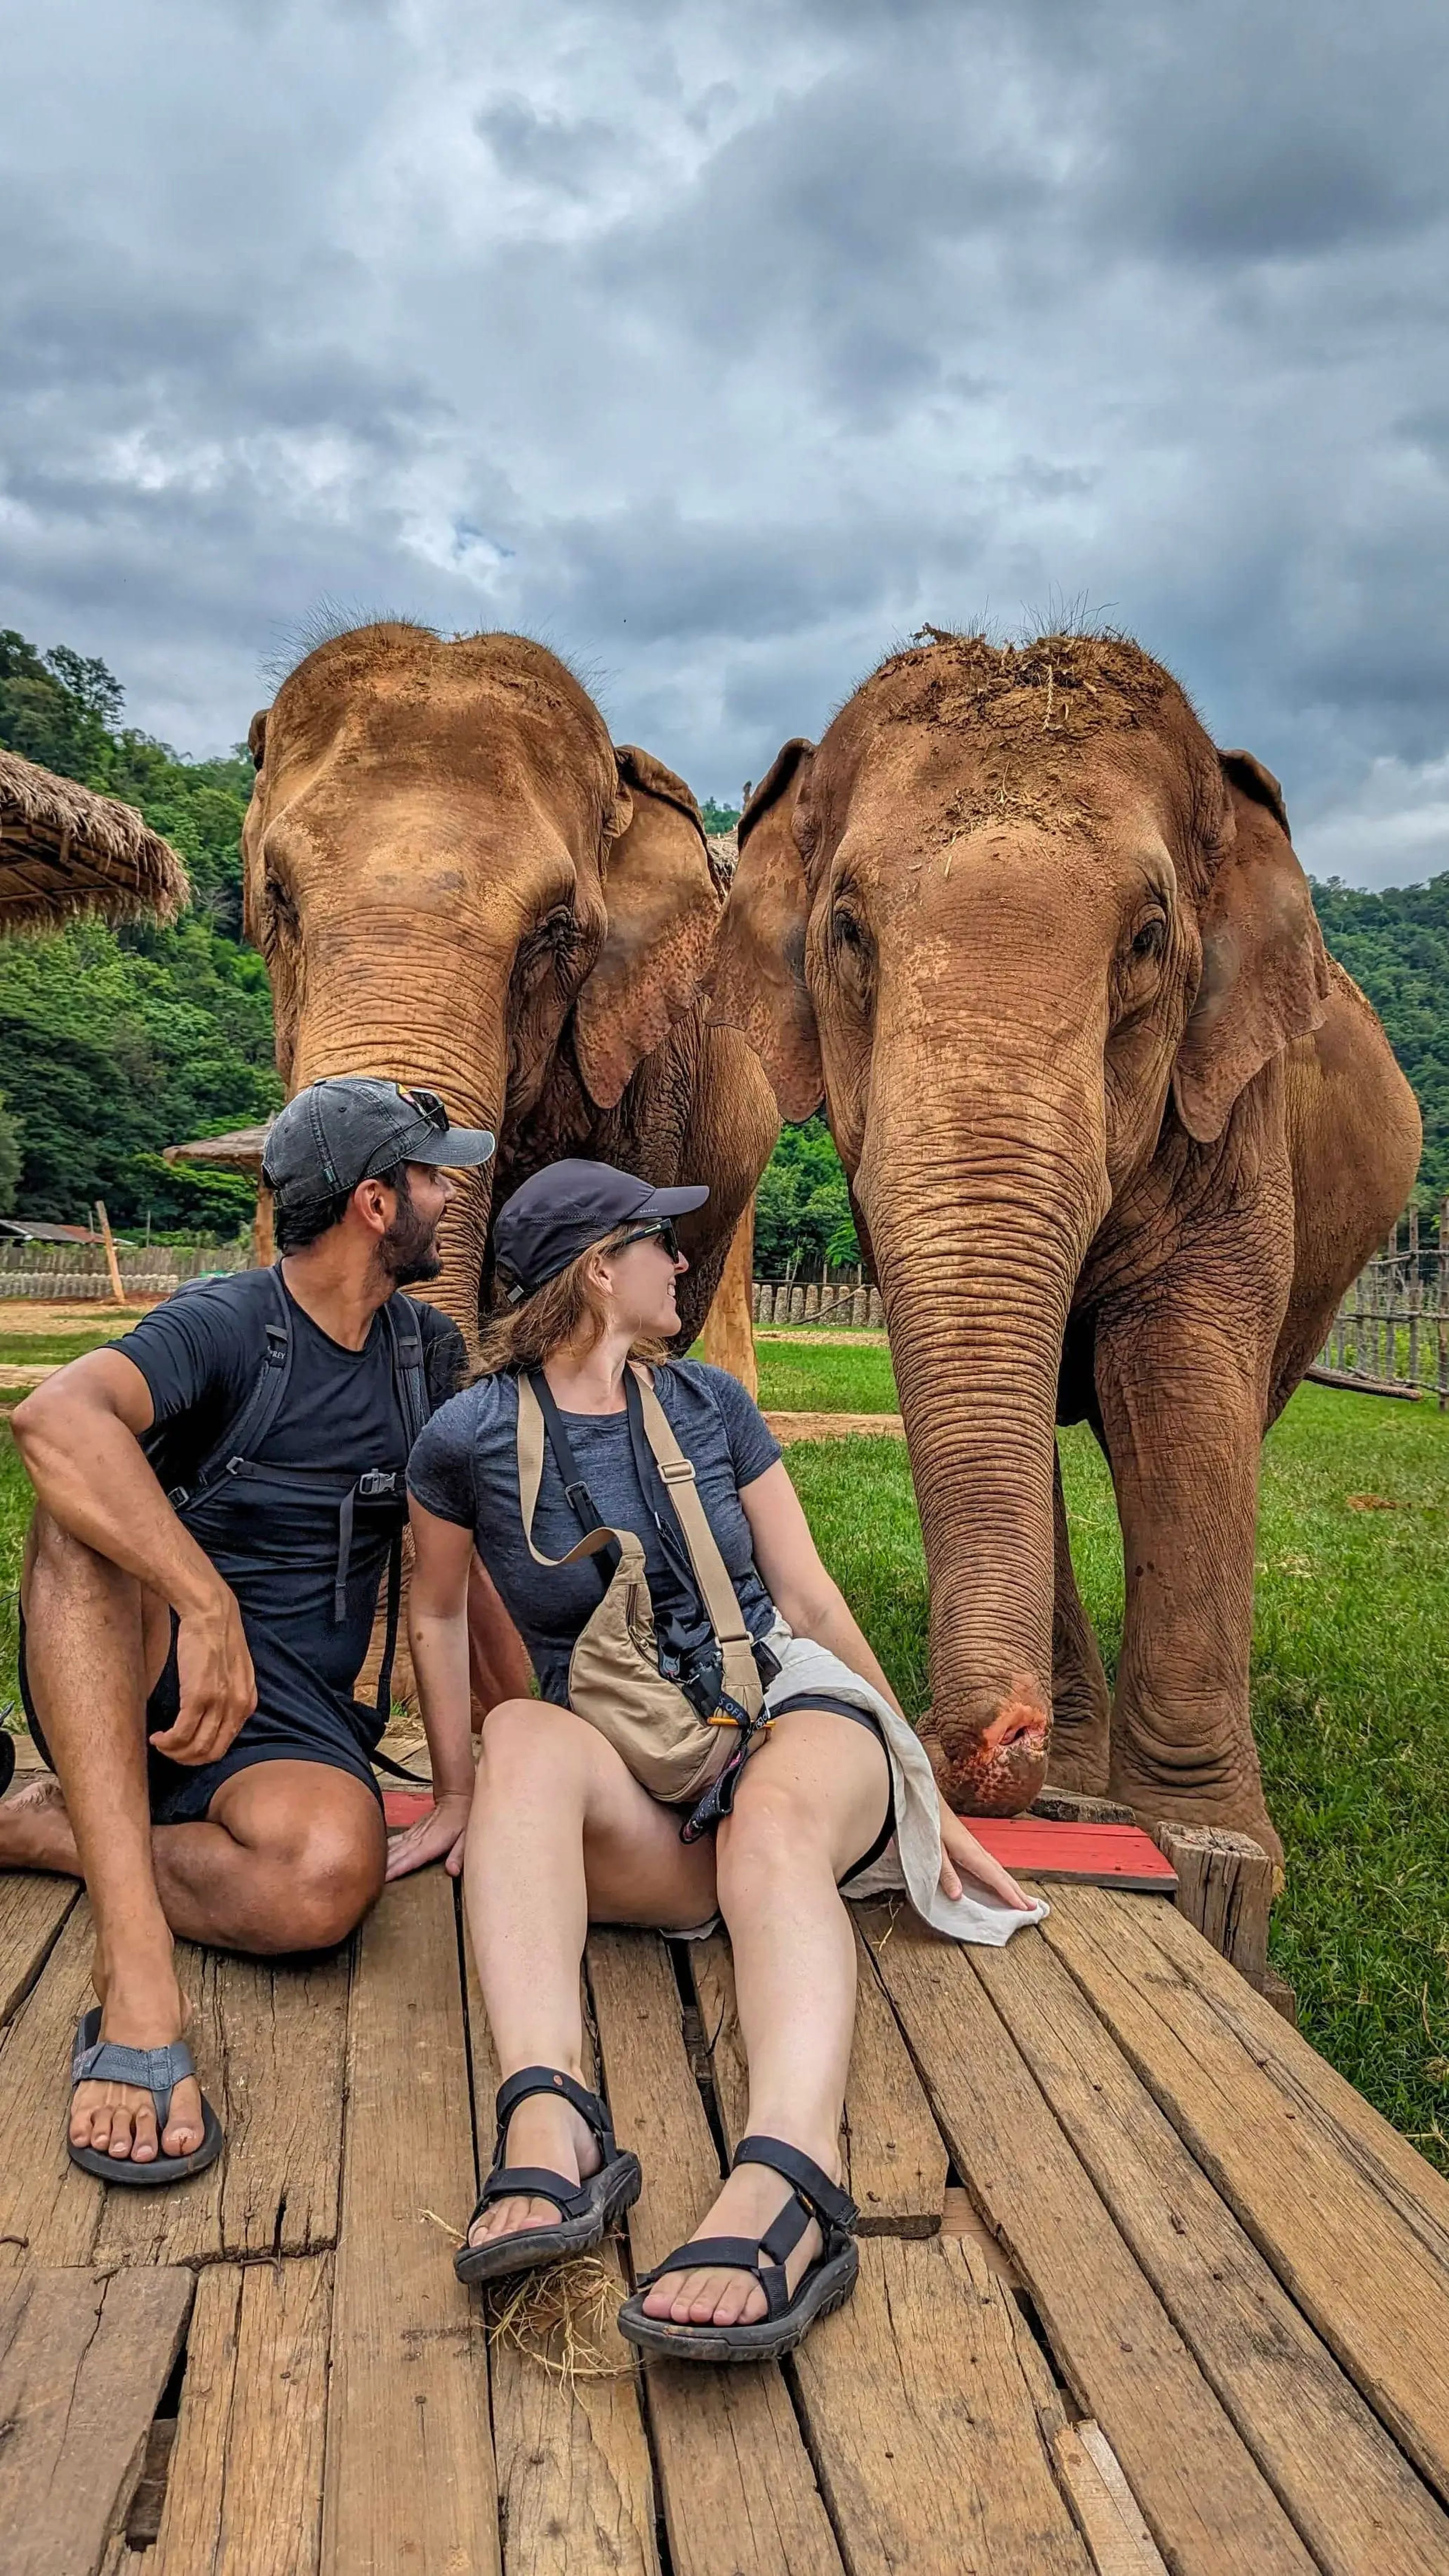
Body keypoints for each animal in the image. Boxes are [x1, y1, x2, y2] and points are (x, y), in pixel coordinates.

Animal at [710, 634, 1420, 1865]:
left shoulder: (1227, 1112)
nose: (976, 1742)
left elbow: (1179, 1380)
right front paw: (1072, 1788)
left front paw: (1204, 1837)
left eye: (1147, 939)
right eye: (845, 930)